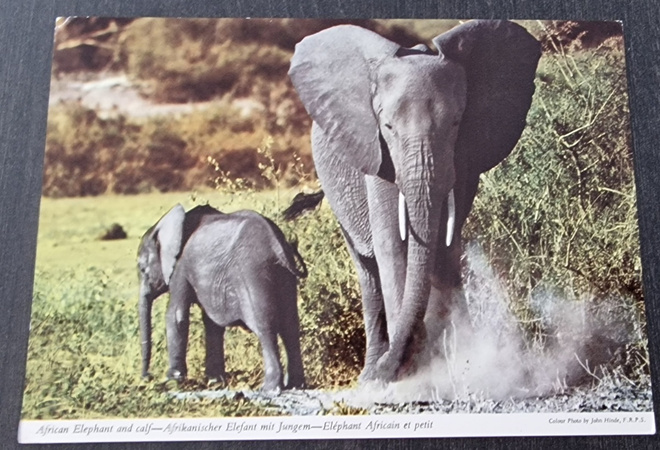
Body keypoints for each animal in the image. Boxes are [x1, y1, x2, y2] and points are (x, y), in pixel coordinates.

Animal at [137, 204, 307, 392]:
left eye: (142, 269)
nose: (147, 377)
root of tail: (277, 245)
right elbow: (212, 324)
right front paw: (215, 382)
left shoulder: (180, 267)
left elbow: (176, 314)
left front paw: (171, 381)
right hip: (284, 277)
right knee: (290, 326)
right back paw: (296, 385)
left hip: (252, 271)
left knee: (264, 326)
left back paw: (269, 388)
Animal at [286, 20, 541, 383]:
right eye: (388, 126)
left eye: (456, 122)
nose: (393, 366)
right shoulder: (379, 155)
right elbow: (393, 244)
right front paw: (408, 374)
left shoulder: (463, 160)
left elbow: (445, 246)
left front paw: (454, 364)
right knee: (368, 271)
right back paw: (370, 377)